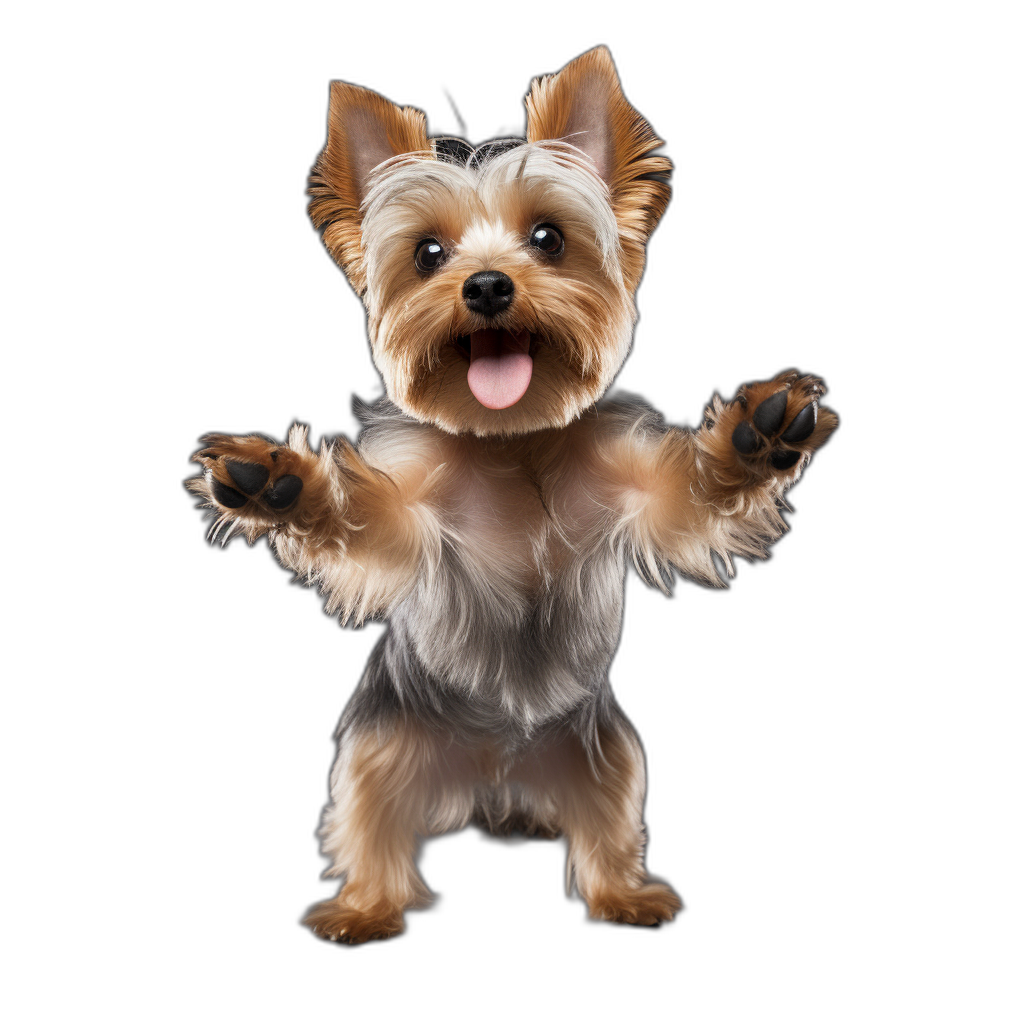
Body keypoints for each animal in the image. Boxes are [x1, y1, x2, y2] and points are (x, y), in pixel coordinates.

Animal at [188, 48, 835, 942]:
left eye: (549, 238)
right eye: (428, 253)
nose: (489, 286)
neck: (515, 440)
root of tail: (496, 782)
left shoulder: (635, 495)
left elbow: (690, 491)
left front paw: (754, 436)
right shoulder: (413, 517)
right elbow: (364, 518)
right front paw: (282, 485)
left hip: (603, 755)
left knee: (606, 824)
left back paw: (624, 894)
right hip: (382, 747)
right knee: (369, 823)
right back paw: (363, 909)